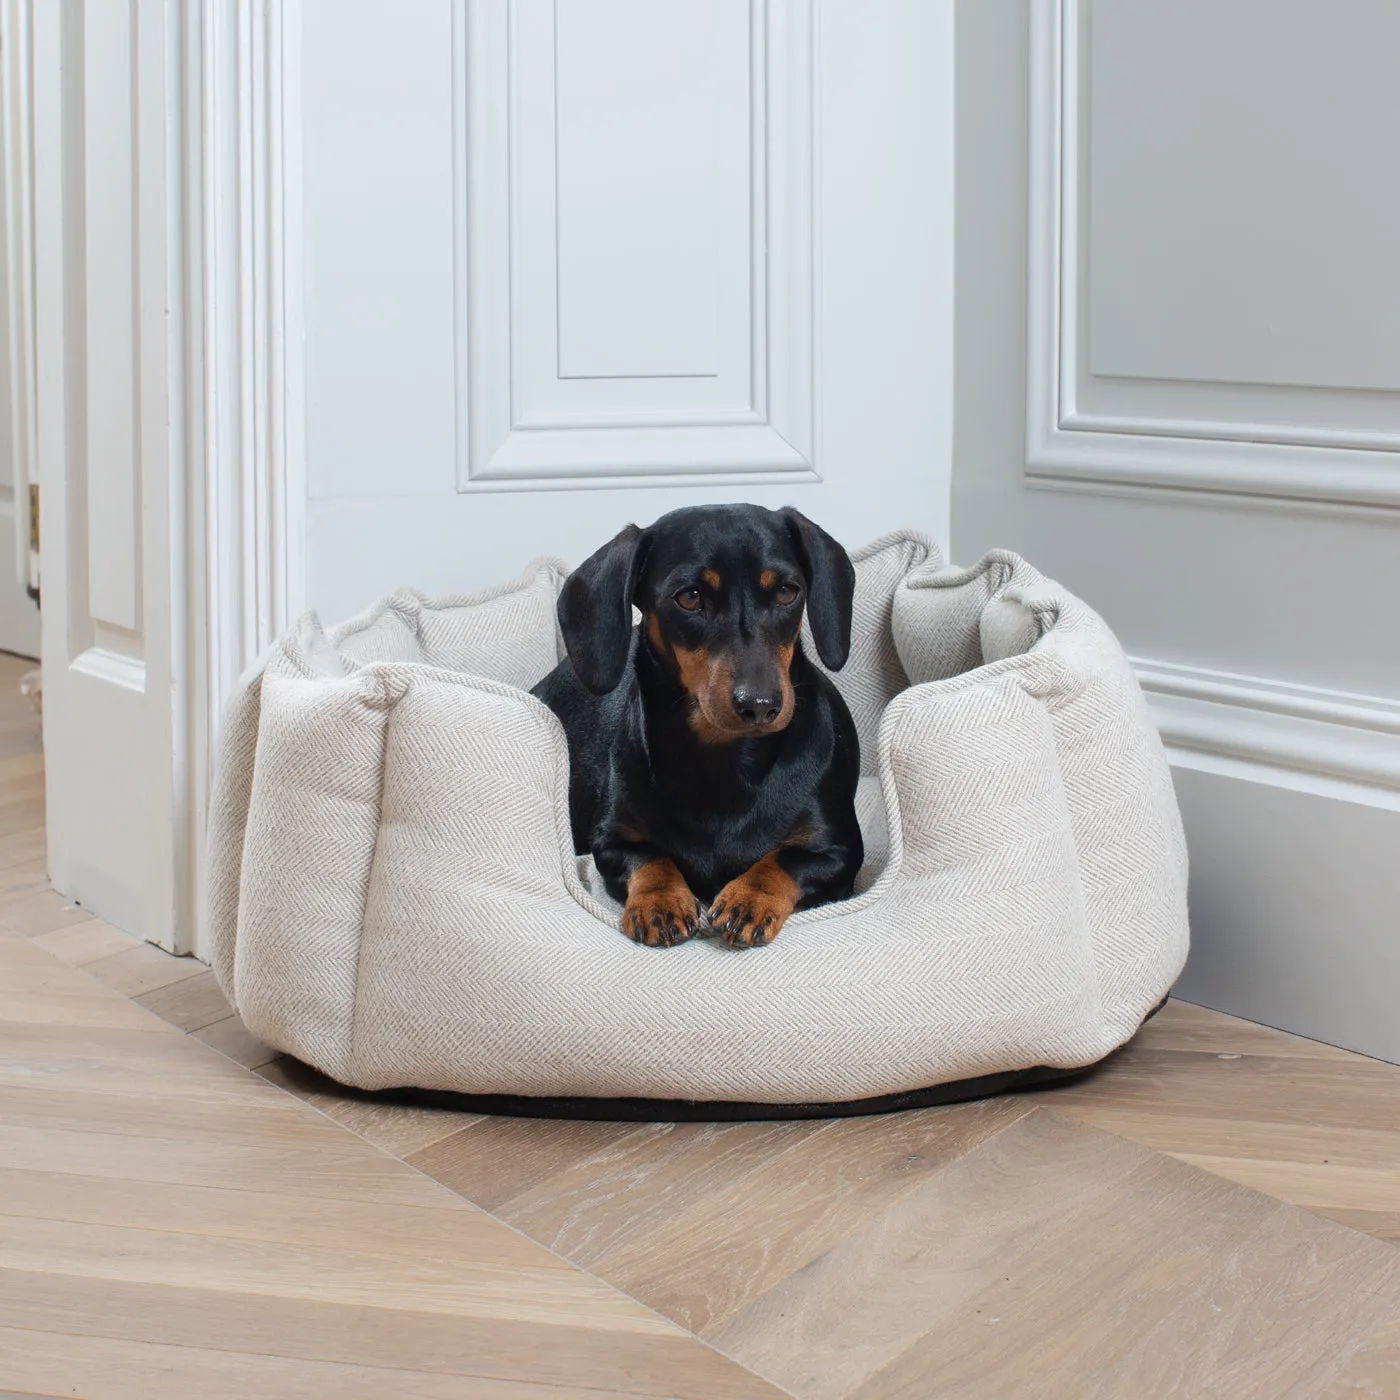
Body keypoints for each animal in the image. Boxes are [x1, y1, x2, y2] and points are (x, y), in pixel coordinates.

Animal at [529, 504, 862, 952]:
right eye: (689, 597)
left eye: (787, 592)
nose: (761, 705)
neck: (724, 761)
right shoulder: (610, 843)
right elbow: (652, 858)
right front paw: (661, 902)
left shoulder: (841, 853)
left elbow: (784, 859)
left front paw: (748, 898)